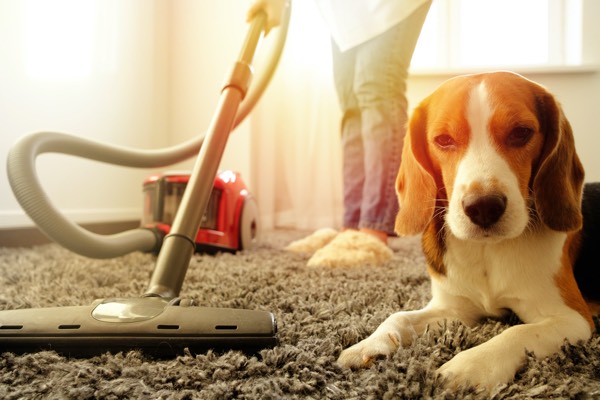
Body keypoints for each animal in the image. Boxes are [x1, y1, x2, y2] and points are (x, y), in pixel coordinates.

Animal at [338, 70, 600, 390]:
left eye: (521, 132)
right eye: (443, 140)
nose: (484, 207)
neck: (487, 250)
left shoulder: (572, 318)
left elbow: (517, 332)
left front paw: (468, 366)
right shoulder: (455, 309)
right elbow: (398, 316)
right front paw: (369, 344)